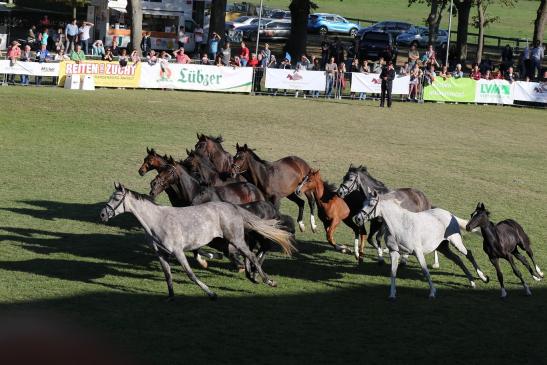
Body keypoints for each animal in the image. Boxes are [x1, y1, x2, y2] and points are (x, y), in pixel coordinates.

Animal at [98, 182, 296, 298]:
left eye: (116, 197)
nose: (102, 215)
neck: (157, 221)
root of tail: (232, 206)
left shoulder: (178, 252)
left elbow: (190, 274)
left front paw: (211, 293)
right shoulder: (161, 254)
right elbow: (168, 276)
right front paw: (170, 297)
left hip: (236, 239)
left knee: (252, 255)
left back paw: (268, 281)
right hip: (230, 241)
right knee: (247, 254)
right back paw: (252, 276)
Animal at [358, 191, 490, 298]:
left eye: (371, 204)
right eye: (363, 202)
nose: (358, 218)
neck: (400, 225)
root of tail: (450, 214)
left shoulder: (418, 252)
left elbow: (425, 270)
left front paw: (432, 293)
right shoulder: (394, 252)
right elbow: (393, 272)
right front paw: (392, 294)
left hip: (455, 241)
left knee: (469, 254)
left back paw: (482, 278)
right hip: (443, 247)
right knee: (458, 259)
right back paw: (472, 282)